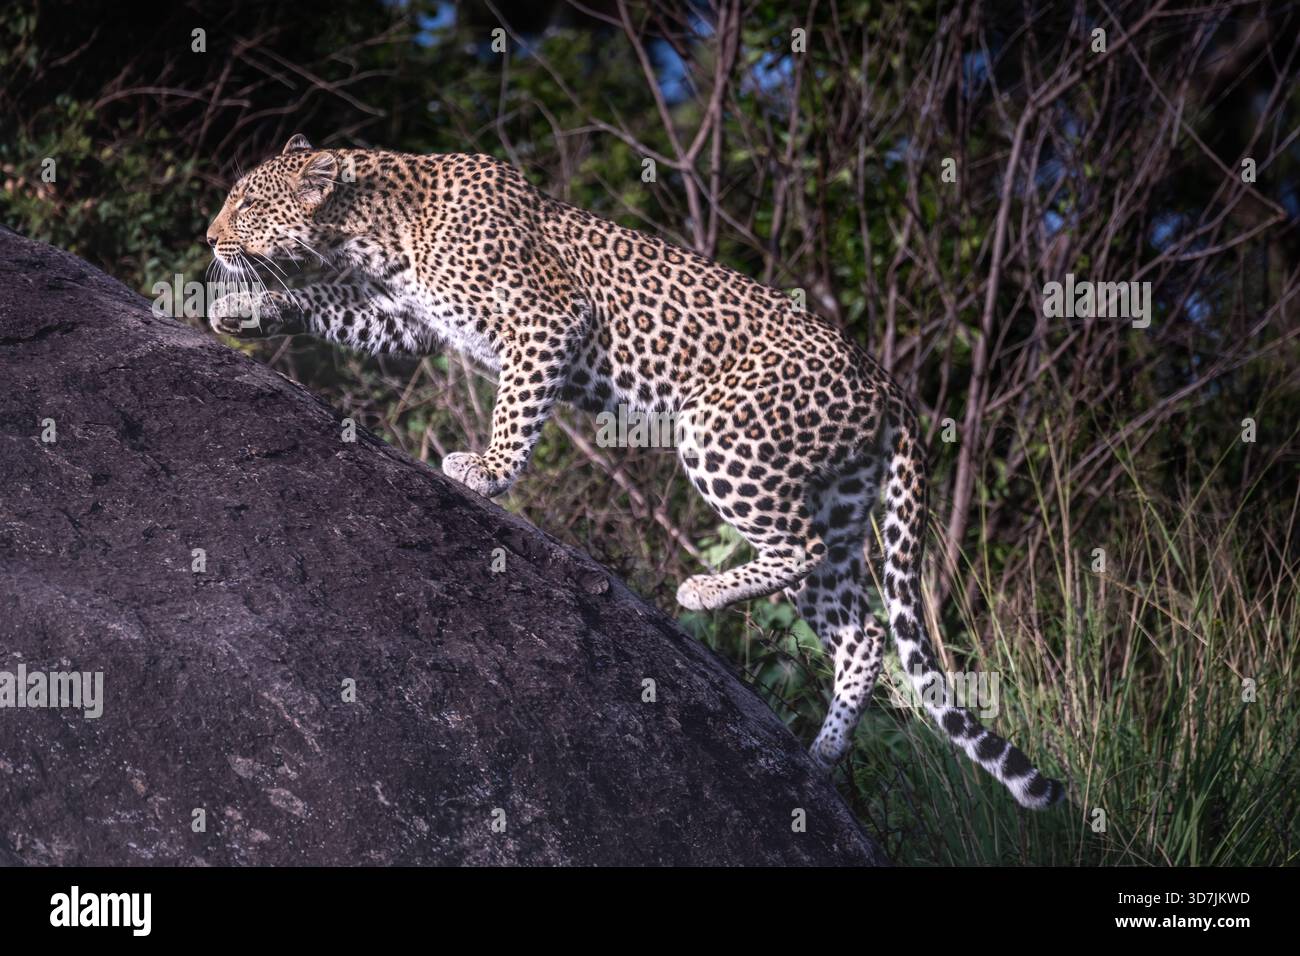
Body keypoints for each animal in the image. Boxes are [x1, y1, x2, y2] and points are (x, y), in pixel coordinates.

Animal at [205, 134, 1065, 809]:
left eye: (245, 204)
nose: (211, 239)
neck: (373, 227)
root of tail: (888, 382)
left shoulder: (547, 320)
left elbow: (517, 410)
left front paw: (486, 471)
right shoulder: (402, 319)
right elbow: (330, 304)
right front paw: (242, 311)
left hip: (725, 435)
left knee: (803, 548)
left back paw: (701, 593)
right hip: (839, 500)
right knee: (860, 631)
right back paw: (820, 757)